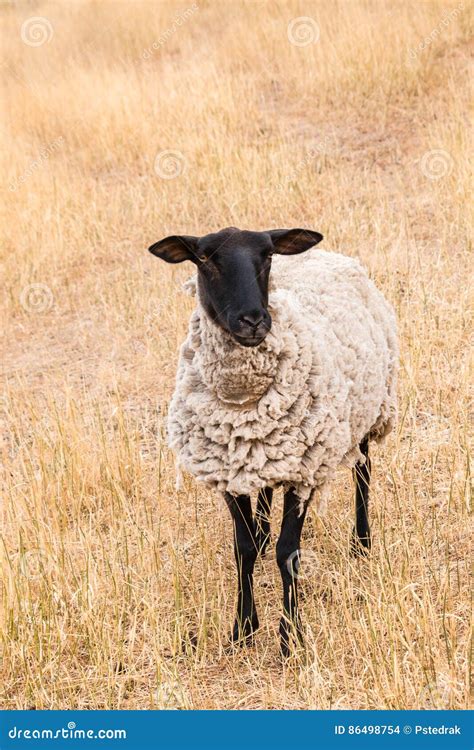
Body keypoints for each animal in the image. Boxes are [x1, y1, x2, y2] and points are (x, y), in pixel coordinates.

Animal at [149, 229, 400, 656]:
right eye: (203, 258)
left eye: (267, 255)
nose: (253, 320)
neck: (244, 403)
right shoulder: (228, 472)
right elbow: (243, 549)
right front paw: (243, 628)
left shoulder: (304, 471)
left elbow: (289, 554)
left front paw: (289, 637)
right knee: (265, 492)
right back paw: (265, 533)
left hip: (369, 406)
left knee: (363, 470)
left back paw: (361, 540)